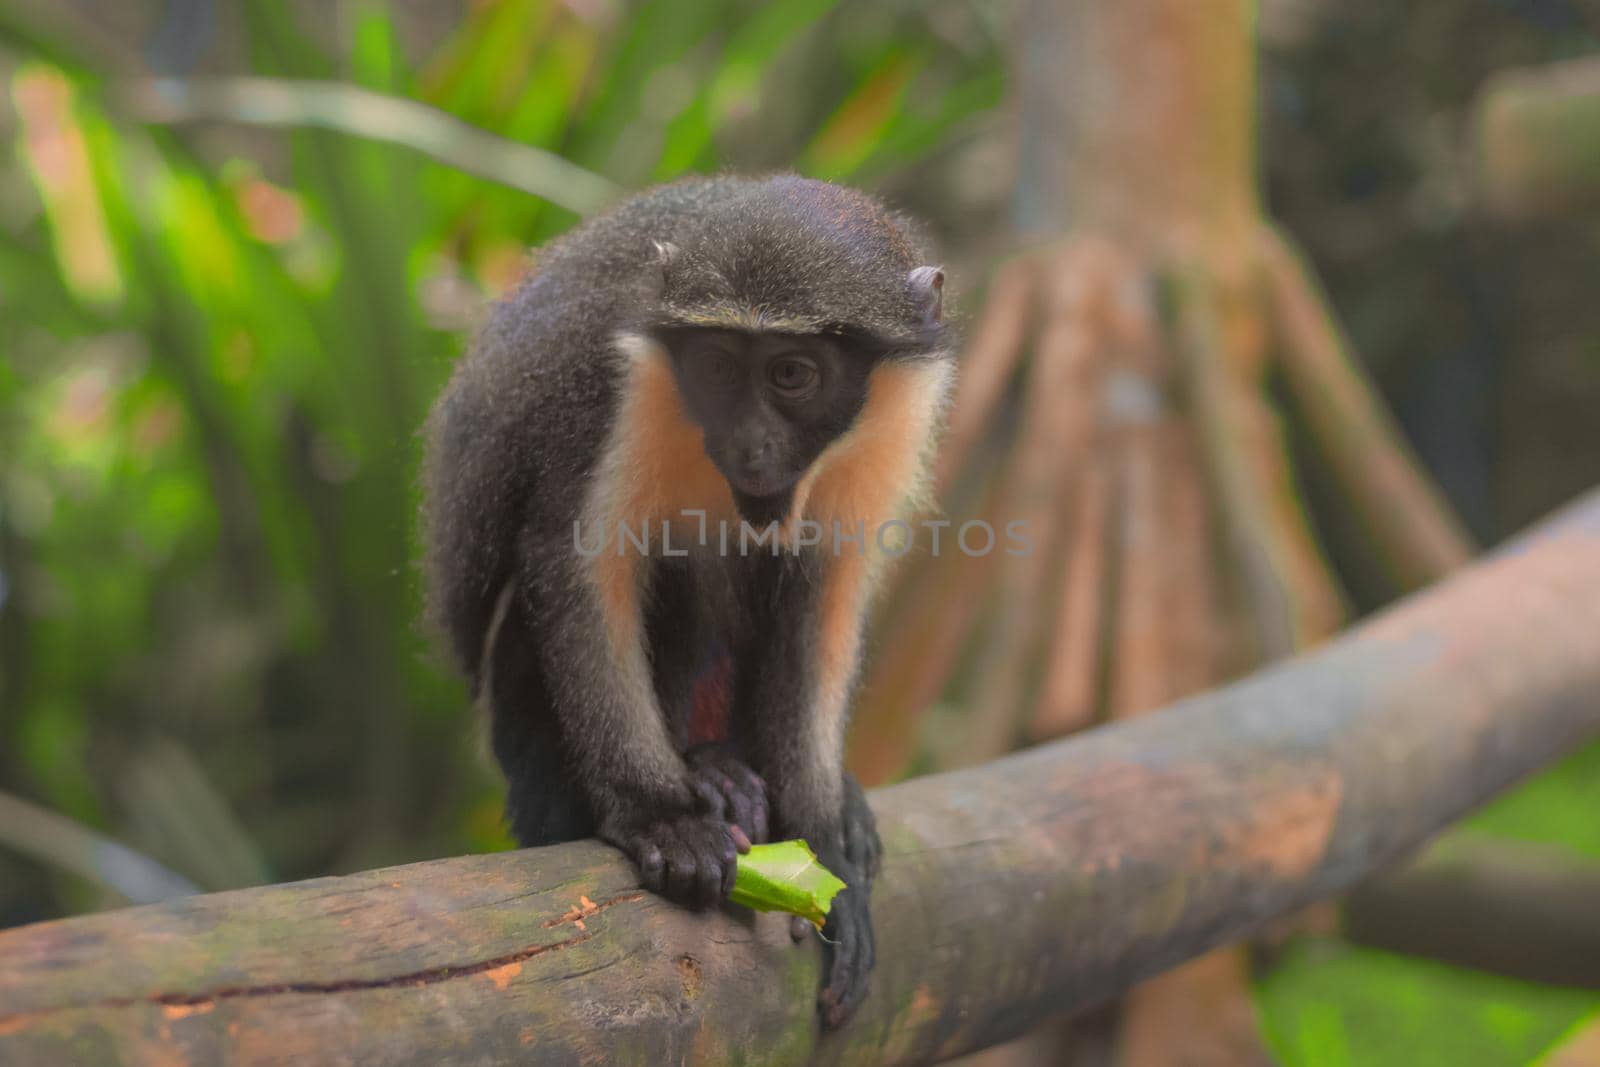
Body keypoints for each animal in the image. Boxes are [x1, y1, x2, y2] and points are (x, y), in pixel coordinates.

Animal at [419, 173, 953, 1023]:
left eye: (792, 374)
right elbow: (576, 566)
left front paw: (825, 843)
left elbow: (823, 595)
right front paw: (660, 814)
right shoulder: (609, 388)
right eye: (719, 367)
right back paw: (708, 773)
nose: (750, 443)